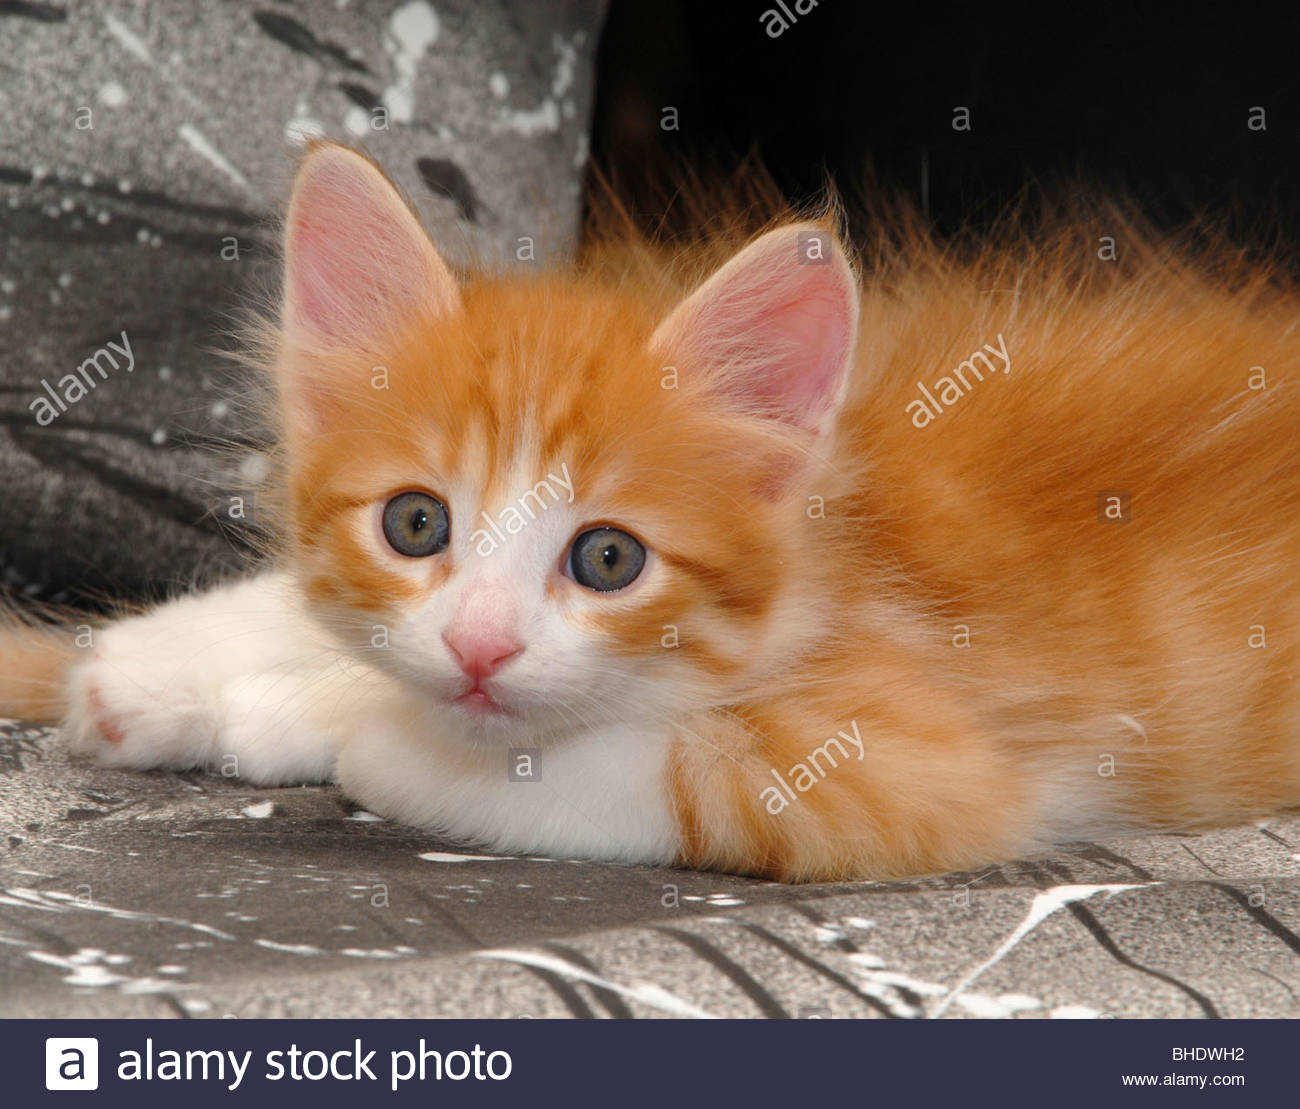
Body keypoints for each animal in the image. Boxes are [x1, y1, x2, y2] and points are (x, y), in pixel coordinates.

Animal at [2, 143, 1300, 878]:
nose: (479, 645)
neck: (830, 541)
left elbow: (596, 763)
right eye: (416, 524)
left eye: (609, 558)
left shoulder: (923, 764)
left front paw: (344, 720)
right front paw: (154, 669)